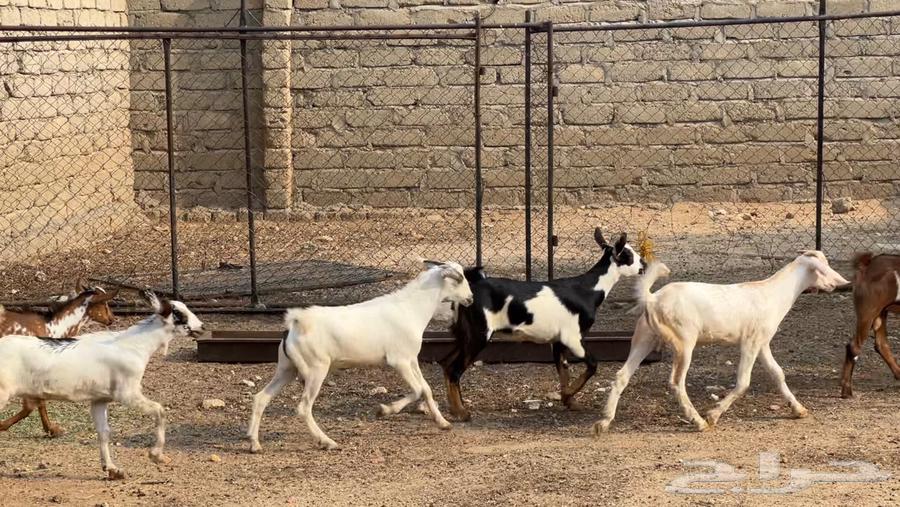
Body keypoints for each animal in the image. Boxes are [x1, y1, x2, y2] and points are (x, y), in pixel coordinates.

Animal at [247, 260, 474, 451]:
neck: (409, 309)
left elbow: (426, 389)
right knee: (303, 407)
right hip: (315, 370)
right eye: (460, 279)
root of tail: (295, 323)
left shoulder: (412, 359)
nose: (470, 298)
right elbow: (418, 390)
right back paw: (328, 442)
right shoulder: (399, 360)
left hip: (287, 369)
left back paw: (254, 443)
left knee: (261, 398)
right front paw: (384, 410)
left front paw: (443, 423)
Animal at [440, 228, 645, 421]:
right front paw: (567, 394)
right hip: (479, 335)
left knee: (446, 363)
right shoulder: (573, 338)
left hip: (464, 334)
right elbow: (593, 364)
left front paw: (569, 400)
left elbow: (564, 370)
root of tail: (469, 289)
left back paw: (454, 408)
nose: (644, 265)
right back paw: (462, 413)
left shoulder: (558, 341)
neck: (587, 290)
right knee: (454, 370)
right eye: (628, 255)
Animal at [595, 251, 849, 434]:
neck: (773, 293)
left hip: (644, 338)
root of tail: (652, 299)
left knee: (622, 375)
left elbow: (778, 374)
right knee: (676, 382)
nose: (839, 284)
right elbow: (744, 382)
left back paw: (604, 422)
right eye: (823, 269)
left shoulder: (762, 343)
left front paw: (798, 409)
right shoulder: (749, 342)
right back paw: (698, 422)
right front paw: (713, 415)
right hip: (684, 342)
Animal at [840, 252, 900, 398]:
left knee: (881, 344)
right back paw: (847, 391)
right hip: (869, 312)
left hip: (880, 312)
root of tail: (868, 265)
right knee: (854, 347)